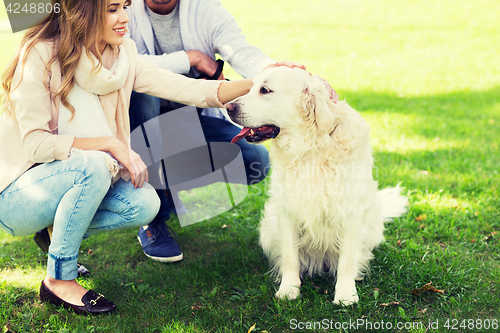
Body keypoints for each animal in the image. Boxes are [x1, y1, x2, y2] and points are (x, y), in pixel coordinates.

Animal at [225, 67, 408, 304]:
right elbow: (290, 257)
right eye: (251, 87)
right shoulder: (286, 210)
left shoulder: (351, 212)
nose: (228, 107)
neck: (310, 147)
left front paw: (346, 294)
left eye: (265, 90)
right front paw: (289, 289)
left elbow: (347, 260)